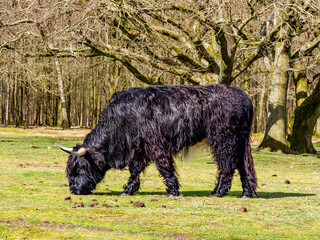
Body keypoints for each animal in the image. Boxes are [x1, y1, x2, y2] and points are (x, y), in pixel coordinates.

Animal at [58, 84, 258, 197]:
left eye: (78, 168)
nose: (73, 189)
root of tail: (243, 96)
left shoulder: (155, 145)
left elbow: (164, 167)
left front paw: (173, 191)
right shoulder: (139, 149)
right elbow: (135, 170)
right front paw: (128, 191)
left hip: (223, 140)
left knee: (227, 166)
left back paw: (217, 192)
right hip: (239, 141)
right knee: (243, 165)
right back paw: (246, 193)